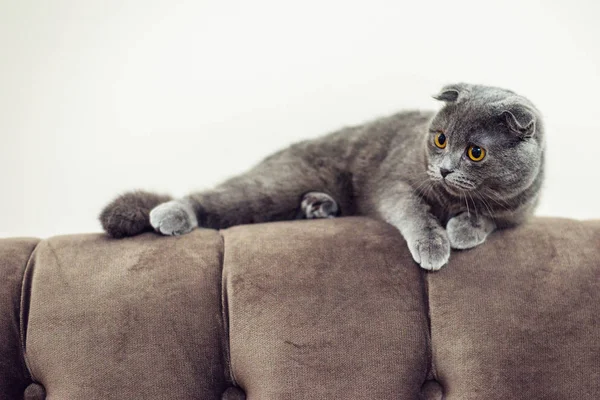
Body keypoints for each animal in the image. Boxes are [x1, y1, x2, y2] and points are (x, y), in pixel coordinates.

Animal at [102, 83, 544, 272]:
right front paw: (434, 243)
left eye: (475, 152)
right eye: (439, 139)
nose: (444, 168)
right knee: (213, 196)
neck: (454, 198)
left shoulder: (519, 208)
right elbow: (414, 211)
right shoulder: (394, 183)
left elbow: (492, 217)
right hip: (278, 183)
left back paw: (319, 207)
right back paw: (172, 214)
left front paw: (466, 229)